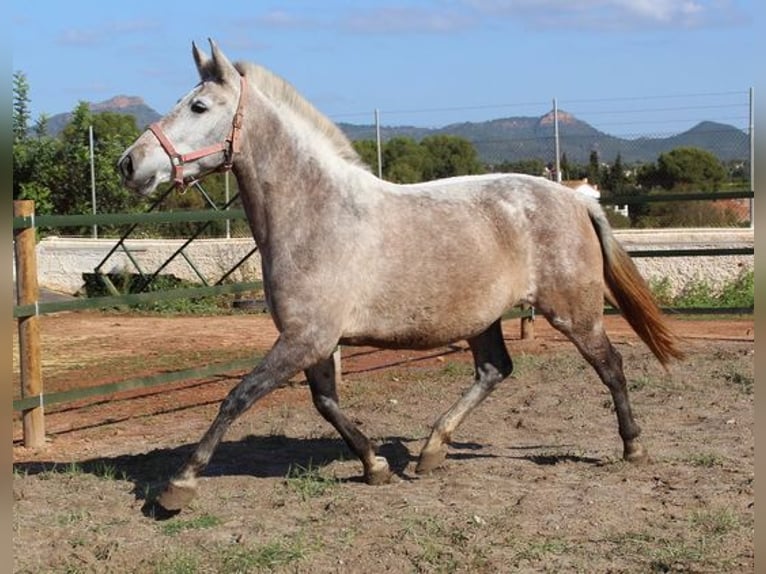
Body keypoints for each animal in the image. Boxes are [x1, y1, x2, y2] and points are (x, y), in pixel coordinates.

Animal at [120, 39, 684, 512]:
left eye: (199, 106)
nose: (130, 164)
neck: (316, 212)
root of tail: (576, 198)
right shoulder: (316, 341)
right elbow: (326, 403)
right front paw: (376, 466)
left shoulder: (305, 338)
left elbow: (239, 396)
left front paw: (178, 486)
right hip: (482, 319)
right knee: (495, 370)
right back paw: (430, 451)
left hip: (573, 312)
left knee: (610, 366)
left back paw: (633, 447)